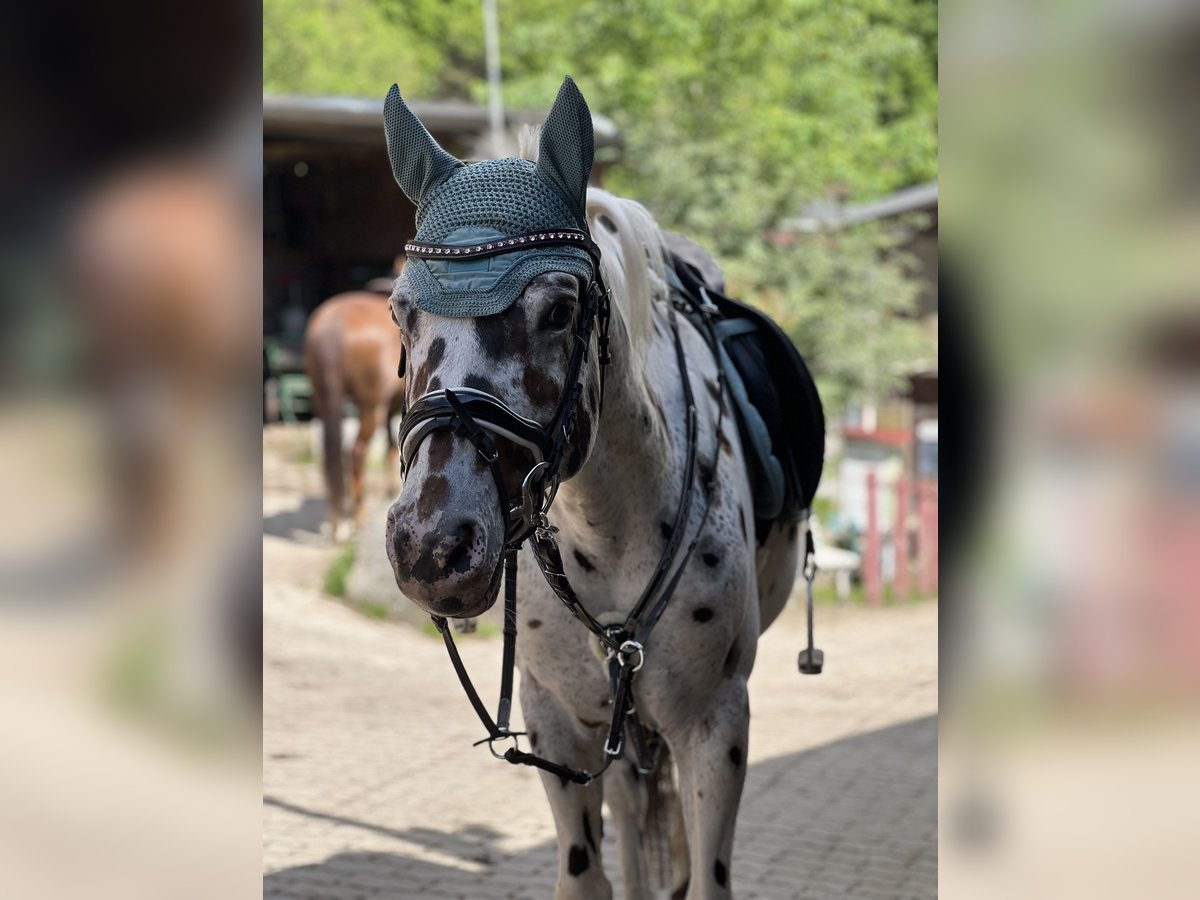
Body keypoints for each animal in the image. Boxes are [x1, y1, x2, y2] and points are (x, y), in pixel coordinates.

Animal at [304, 292, 408, 540]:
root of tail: (333, 325)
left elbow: (391, 447)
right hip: (369, 407)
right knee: (357, 452)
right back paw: (358, 514)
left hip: (325, 400)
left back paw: (338, 518)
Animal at [379, 79, 801, 900]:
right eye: (399, 311)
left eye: (560, 310)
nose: (431, 548)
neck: (609, 531)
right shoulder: (560, 727)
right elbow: (587, 874)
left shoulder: (715, 727)